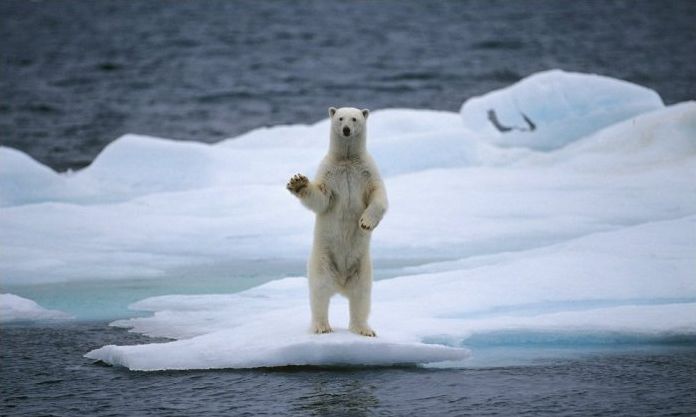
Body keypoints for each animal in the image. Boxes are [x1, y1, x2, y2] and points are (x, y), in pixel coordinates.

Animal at [286, 106, 388, 334]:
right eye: (340, 118)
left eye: (355, 118)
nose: (347, 130)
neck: (347, 160)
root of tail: (341, 284)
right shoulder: (329, 173)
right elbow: (321, 198)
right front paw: (298, 182)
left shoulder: (367, 171)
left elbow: (378, 197)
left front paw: (366, 223)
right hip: (322, 260)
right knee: (320, 292)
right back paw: (322, 326)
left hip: (363, 267)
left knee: (361, 296)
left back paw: (364, 329)